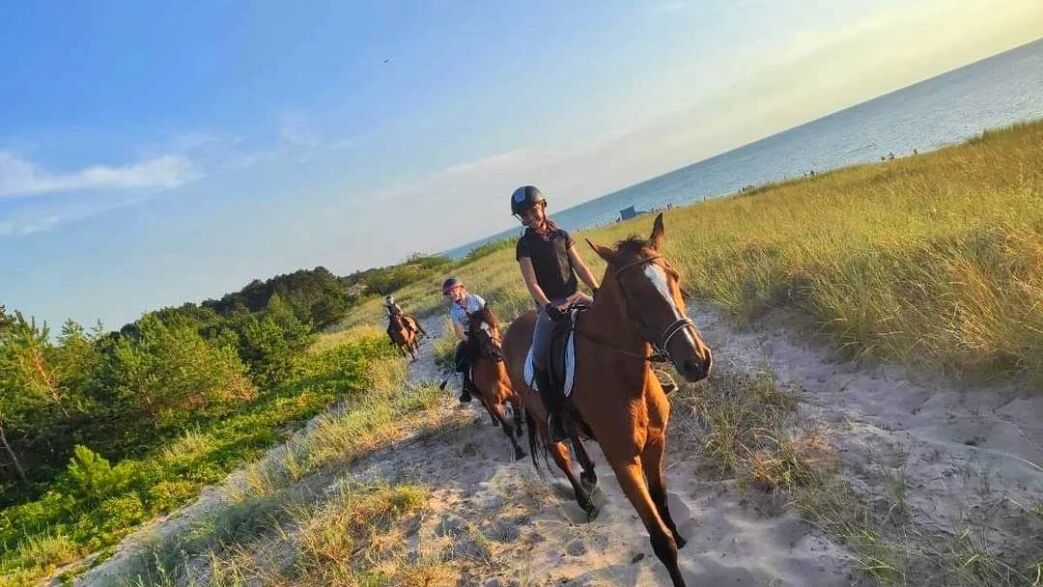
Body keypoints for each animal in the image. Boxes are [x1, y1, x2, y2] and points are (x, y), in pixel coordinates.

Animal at [464, 306, 527, 460]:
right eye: (476, 332)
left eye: (494, 325)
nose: (497, 353)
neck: (497, 376)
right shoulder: (494, 403)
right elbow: (507, 428)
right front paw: (519, 451)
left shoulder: (514, 396)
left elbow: (517, 416)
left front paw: (520, 430)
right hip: (480, 397)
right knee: (485, 406)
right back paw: (494, 421)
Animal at [502, 214, 713, 587]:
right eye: (636, 293)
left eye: (673, 276)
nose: (697, 361)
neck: (622, 374)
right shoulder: (623, 462)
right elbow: (661, 542)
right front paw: (671, 544)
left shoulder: (655, 443)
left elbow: (660, 498)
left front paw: (679, 532)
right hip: (542, 418)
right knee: (560, 455)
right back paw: (585, 503)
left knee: (574, 438)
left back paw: (588, 474)